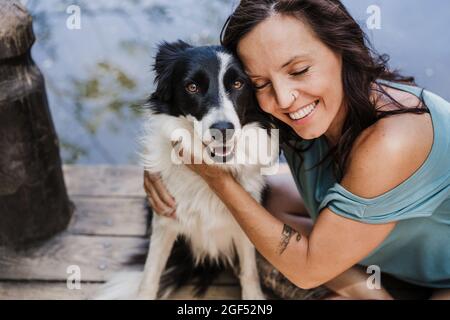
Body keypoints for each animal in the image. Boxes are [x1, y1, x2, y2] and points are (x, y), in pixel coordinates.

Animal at [96, 40, 278, 300]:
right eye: (192, 87)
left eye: (237, 84)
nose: (223, 129)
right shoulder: (165, 220)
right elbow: (150, 276)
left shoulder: (248, 222)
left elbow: (249, 272)